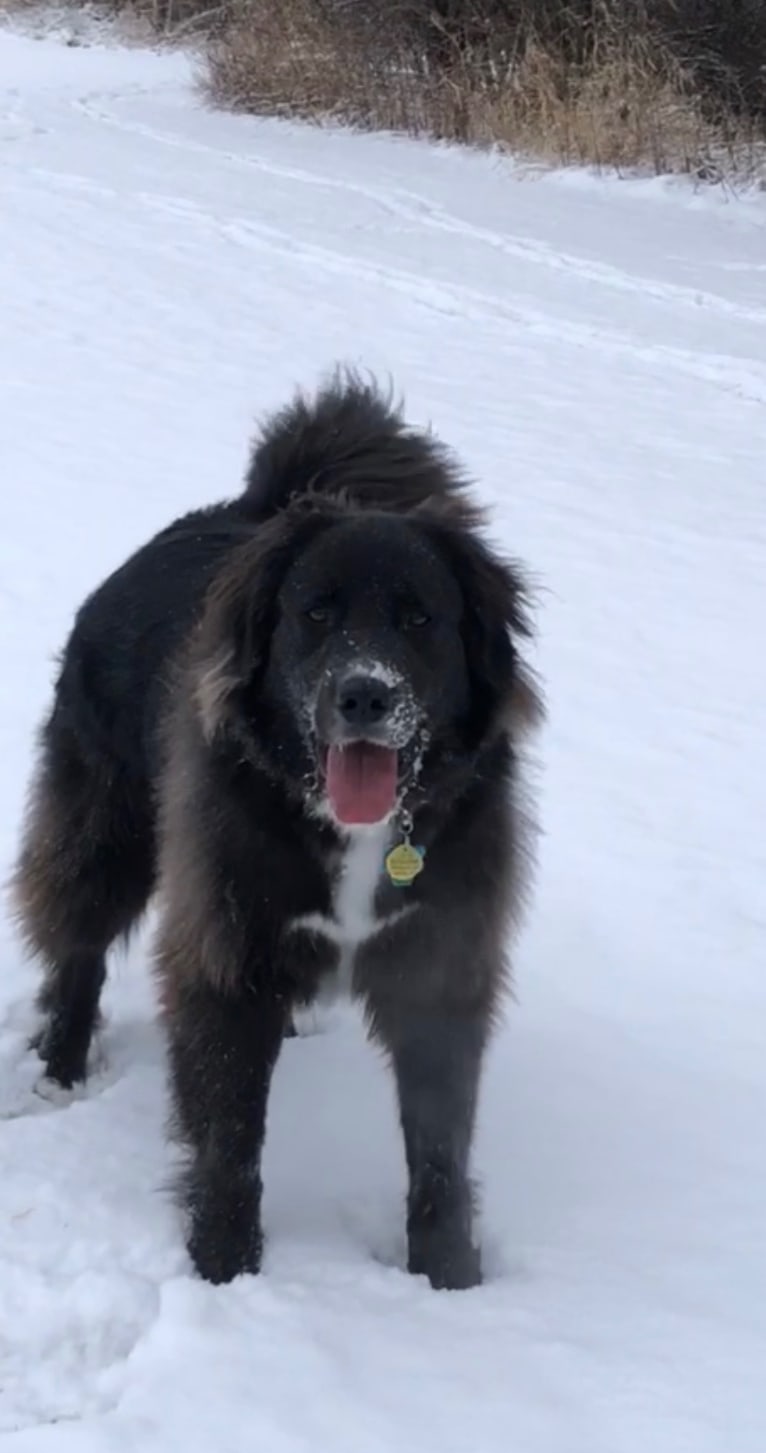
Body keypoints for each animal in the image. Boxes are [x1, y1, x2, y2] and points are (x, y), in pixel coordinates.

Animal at [8, 369, 543, 1290]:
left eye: (420, 618)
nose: (364, 695)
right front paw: (226, 1272)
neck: (354, 829)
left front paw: (451, 1285)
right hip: (104, 826)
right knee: (77, 944)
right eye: (316, 614)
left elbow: (439, 1145)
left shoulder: (439, 955)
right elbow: (229, 1135)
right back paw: (61, 1069)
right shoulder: (225, 948)